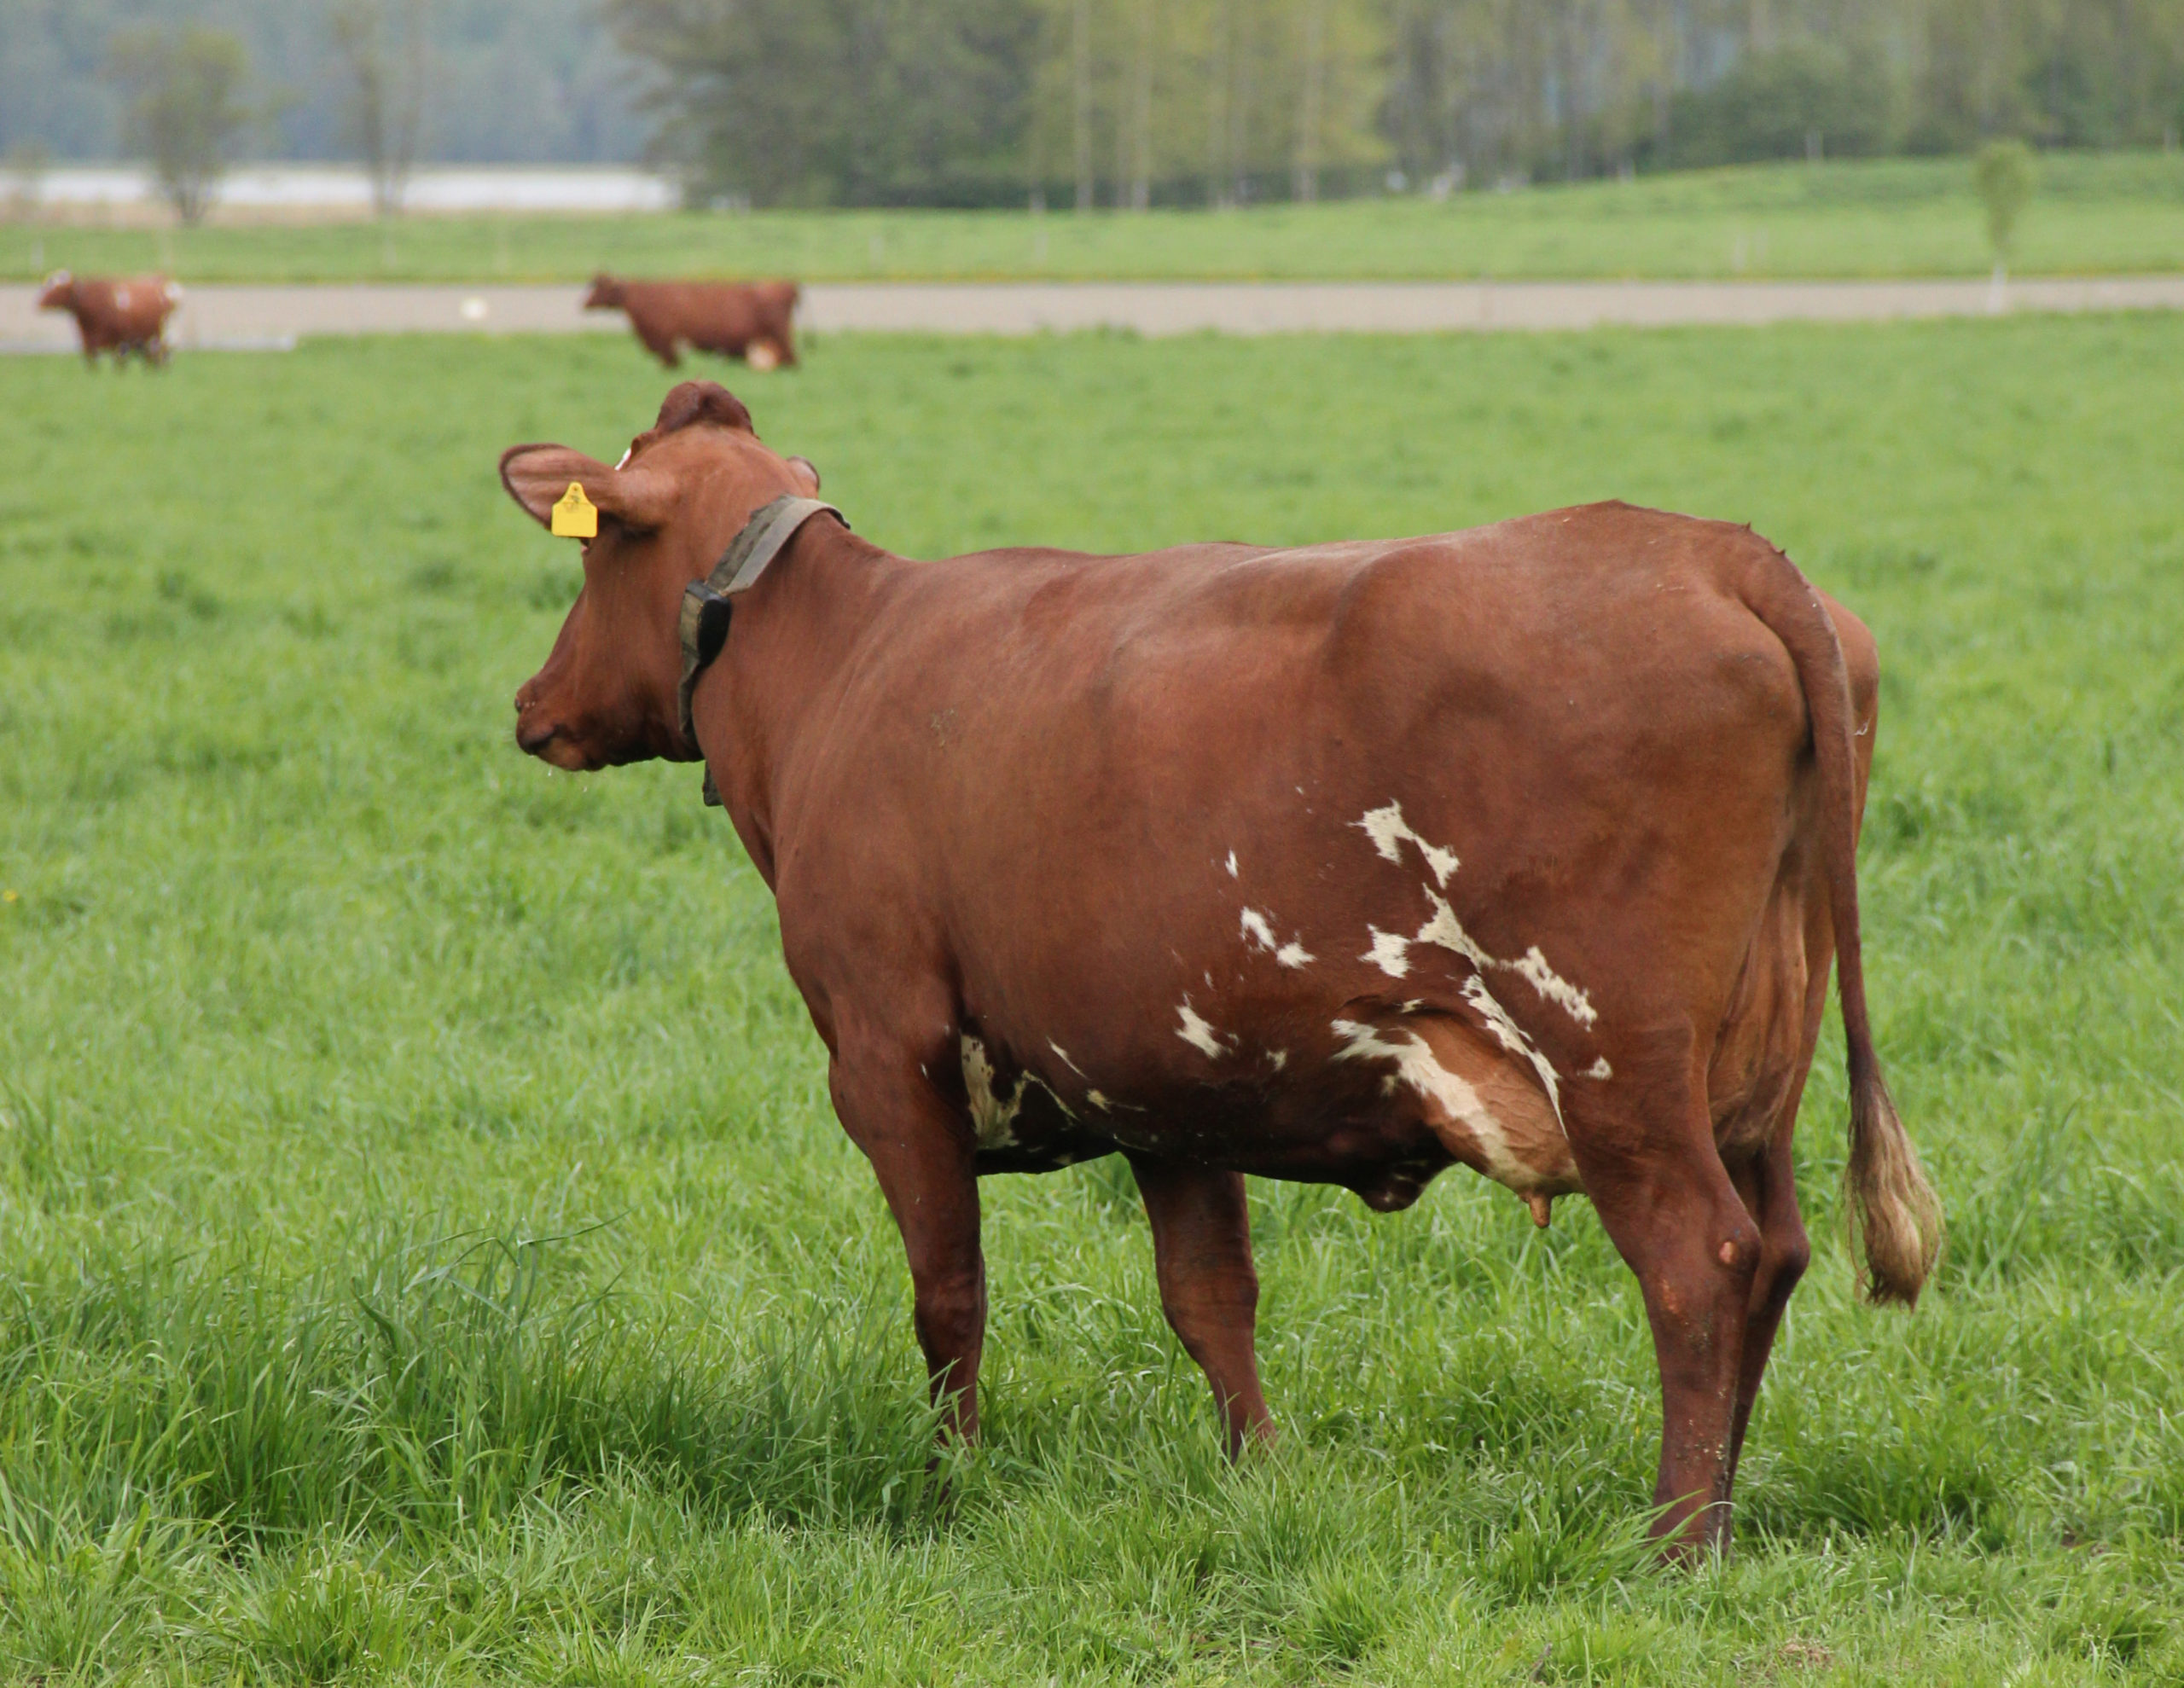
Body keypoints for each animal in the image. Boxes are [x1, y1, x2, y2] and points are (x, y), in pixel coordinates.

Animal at [39, 270, 180, 364]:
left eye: (59, 287)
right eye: (48, 282)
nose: (39, 301)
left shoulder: (119, 346)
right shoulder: (89, 346)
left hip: (159, 340)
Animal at [502, 377, 1939, 1554]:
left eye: (593, 551)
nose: (530, 702)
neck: (843, 659)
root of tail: (1706, 545)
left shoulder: (885, 1052)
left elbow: (949, 1295)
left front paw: (952, 1485)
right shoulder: (1162, 1080)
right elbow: (1210, 1296)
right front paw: (1258, 1475)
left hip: (1615, 1064)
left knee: (1702, 1258)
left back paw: (1675, 1537)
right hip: (1757, 1069)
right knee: (1779, 1251)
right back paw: (1726, 1505)